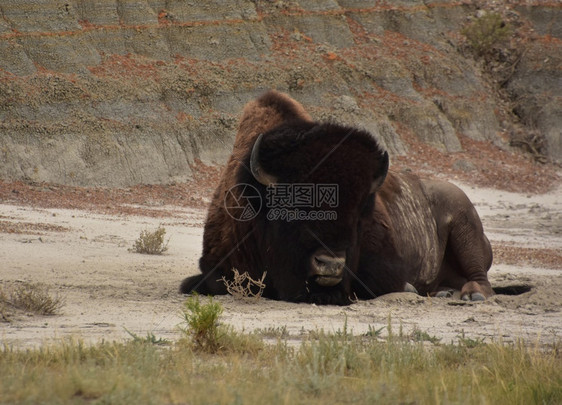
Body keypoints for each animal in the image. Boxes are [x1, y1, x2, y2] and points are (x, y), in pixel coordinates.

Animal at [179, 90, 490, 304]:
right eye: (292, 208)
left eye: (359, 215)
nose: (331, 264)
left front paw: (409, 288)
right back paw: (445, 292)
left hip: (465, 224)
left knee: (481, 277)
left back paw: (471, 294)